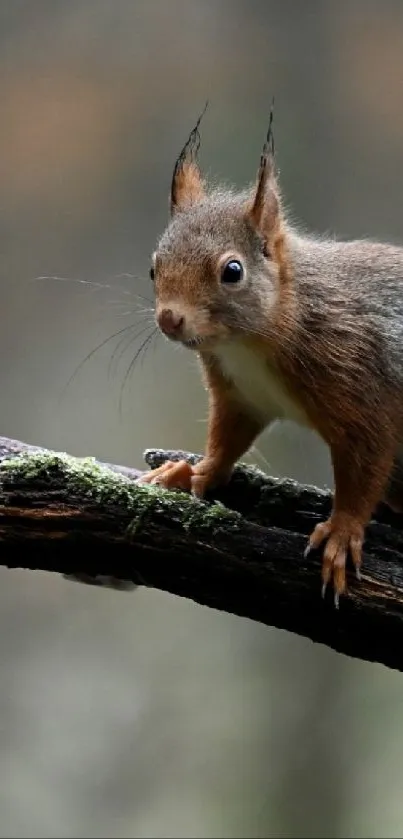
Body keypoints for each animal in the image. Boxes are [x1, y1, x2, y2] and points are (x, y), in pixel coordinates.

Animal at [138, 105, 403, 608]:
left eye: (232, 271)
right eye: (153, 267)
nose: (170, 320)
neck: (248, 343)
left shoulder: (363, 382)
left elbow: (365, 465)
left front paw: (341, 534)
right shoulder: (241, 395)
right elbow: (227, 438)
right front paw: (193, 470)